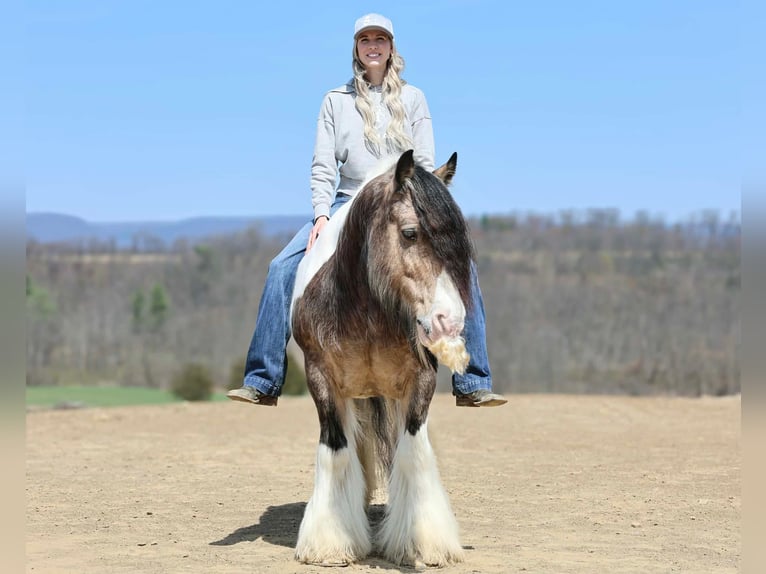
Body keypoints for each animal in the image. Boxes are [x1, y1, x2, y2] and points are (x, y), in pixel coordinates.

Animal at [290, 150, 474, 567]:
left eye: (458, 242)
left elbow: (412, 453)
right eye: (410, 233)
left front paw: (424, 544)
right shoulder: (321, 379)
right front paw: (330, 544)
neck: (366, 309)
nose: (449, 321)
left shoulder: (420, 382)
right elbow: (337, 451)